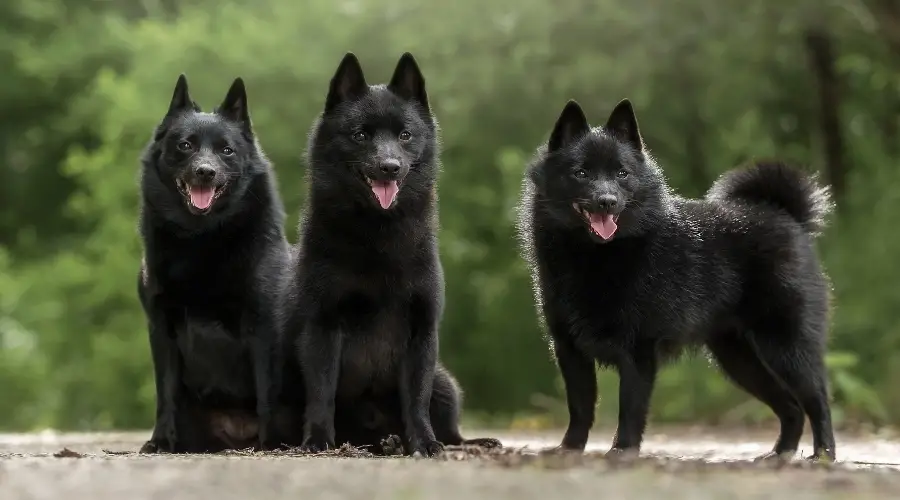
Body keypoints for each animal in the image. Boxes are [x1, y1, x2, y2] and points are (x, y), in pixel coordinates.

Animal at [138, 74, 296, 454]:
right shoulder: (161, 327)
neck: (203, 239)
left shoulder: (263, 326)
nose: (205, 173)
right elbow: (165, 392)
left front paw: (271, 443)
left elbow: (267, 391)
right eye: (185, 145)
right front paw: (161, 440)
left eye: (227, 150)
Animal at [284, 52, 502, 456]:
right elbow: (322, 392)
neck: (378, 237)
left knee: (451, 429)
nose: (390, 166)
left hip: (444, 383)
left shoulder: (421, 333)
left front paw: (425, 443)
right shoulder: (323, 326)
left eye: (405, 135)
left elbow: (415, 400)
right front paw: (318, 440)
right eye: (360, 135)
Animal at [520, 97, 836, 460]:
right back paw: (780, 455)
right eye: (581, 173)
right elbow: (580, 406)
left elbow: (630, 408)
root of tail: (784, 214)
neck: (597, 256)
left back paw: (823, 455)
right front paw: (570, 448)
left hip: (786, 346)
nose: (607, 201)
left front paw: (623, 450)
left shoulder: (637, 351)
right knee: (791, 407)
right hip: (738, 359)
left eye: (622, 173)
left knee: (817, 400)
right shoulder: (570, 350)